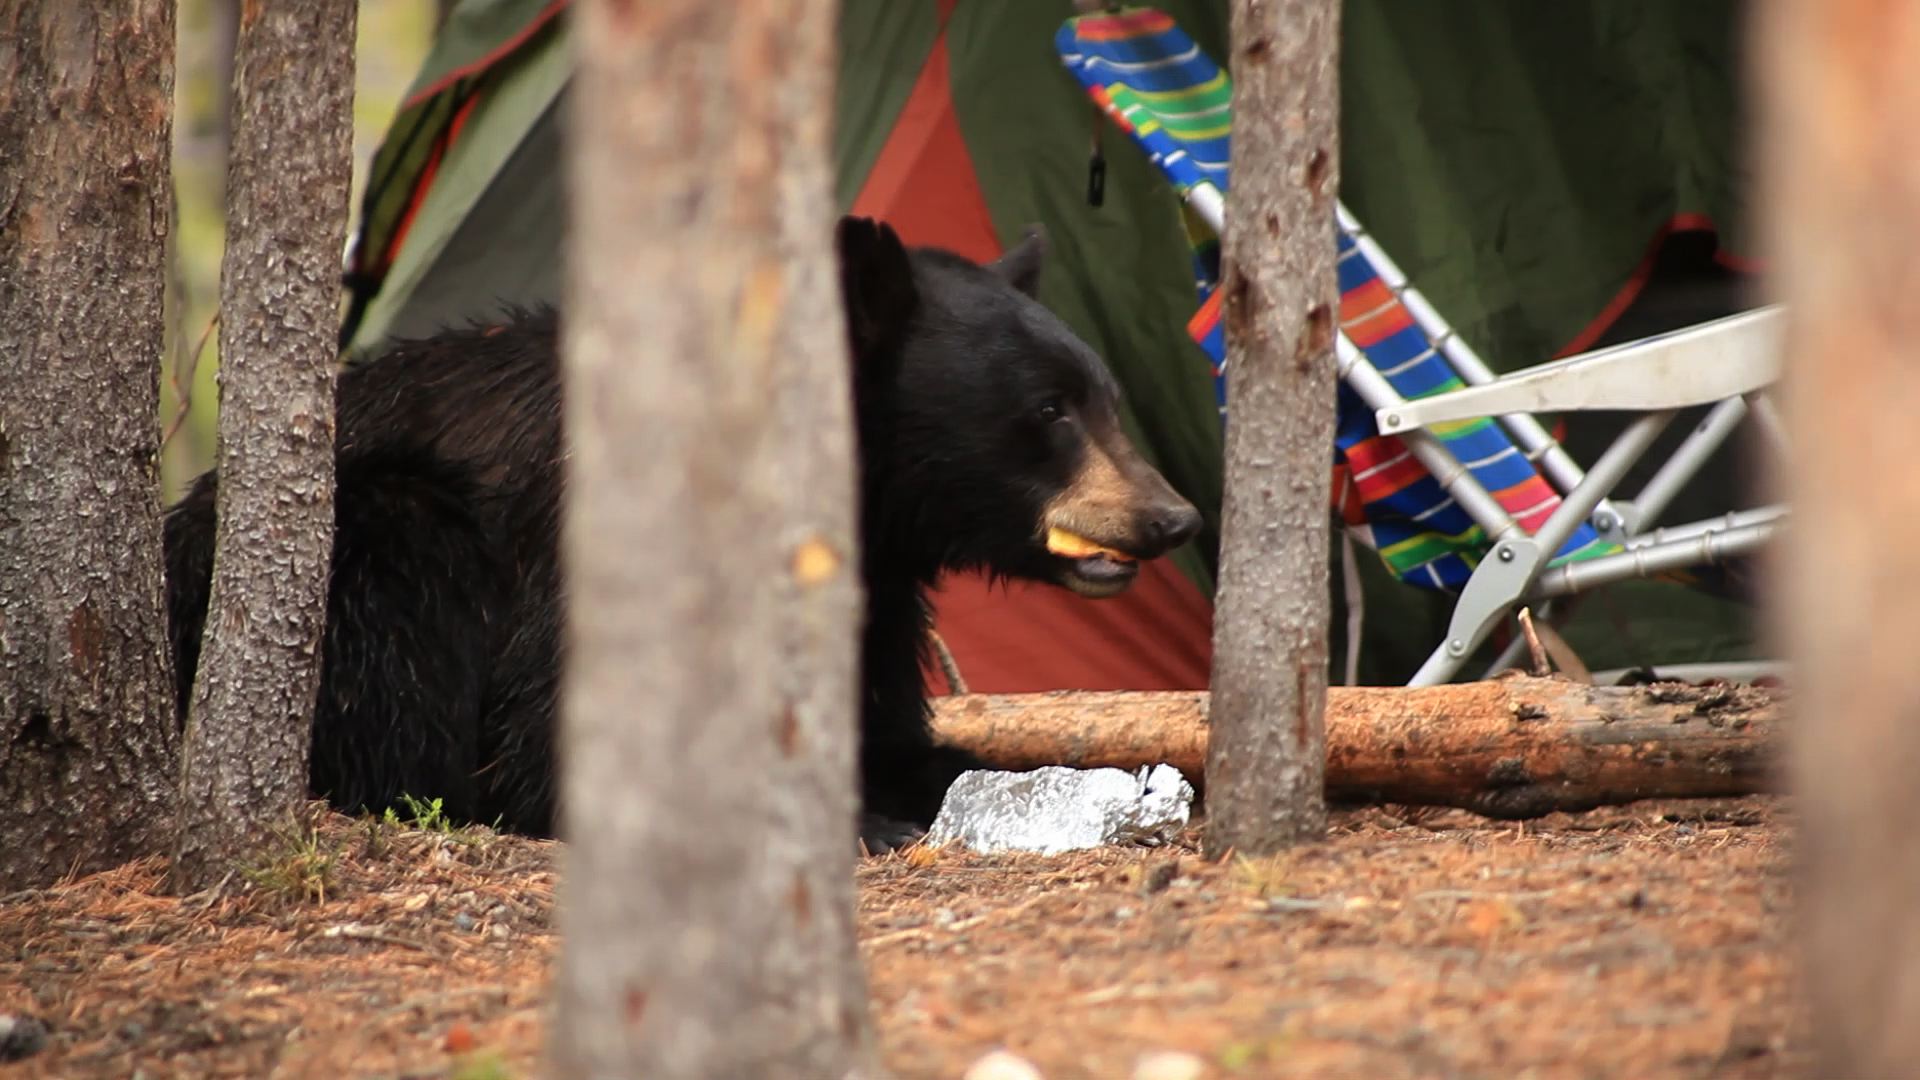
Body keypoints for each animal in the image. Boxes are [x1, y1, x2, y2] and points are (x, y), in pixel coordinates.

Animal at [162, 215, 1202, 851]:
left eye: (1104, 396)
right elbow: (555, 747)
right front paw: (863, 822)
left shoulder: (873, 585)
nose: (1172, 516)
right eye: (1051, 410)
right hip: (381, 535)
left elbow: (885, 725)